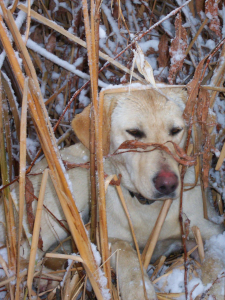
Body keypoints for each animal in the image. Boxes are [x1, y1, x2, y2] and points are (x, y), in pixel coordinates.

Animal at [0, 84, 223, 300]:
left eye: (176, 130)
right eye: (134, 133)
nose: (167, 184)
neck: (147, 208)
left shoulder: (209, 231)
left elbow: (216, 261)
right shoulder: (109, 238)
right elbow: (128, 258)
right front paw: (139, 291)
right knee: (22, 256)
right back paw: (43, 280)